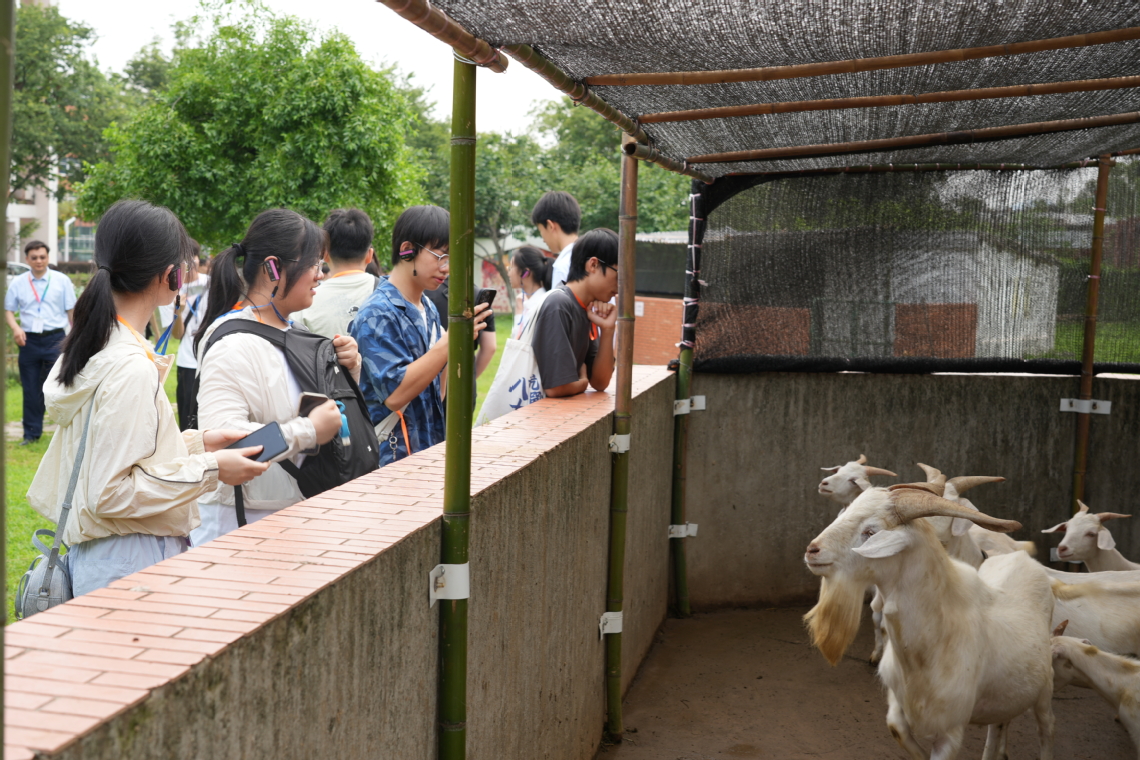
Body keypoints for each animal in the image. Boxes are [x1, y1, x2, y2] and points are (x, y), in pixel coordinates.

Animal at [804, 485, 1055, 760]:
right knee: (999, 723)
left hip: (1045, 690)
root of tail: (1023, 558)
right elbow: (897, 728)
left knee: (1046, 730)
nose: (812, 550)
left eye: (871, 531)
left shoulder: (951, 729)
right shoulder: (898, 701)